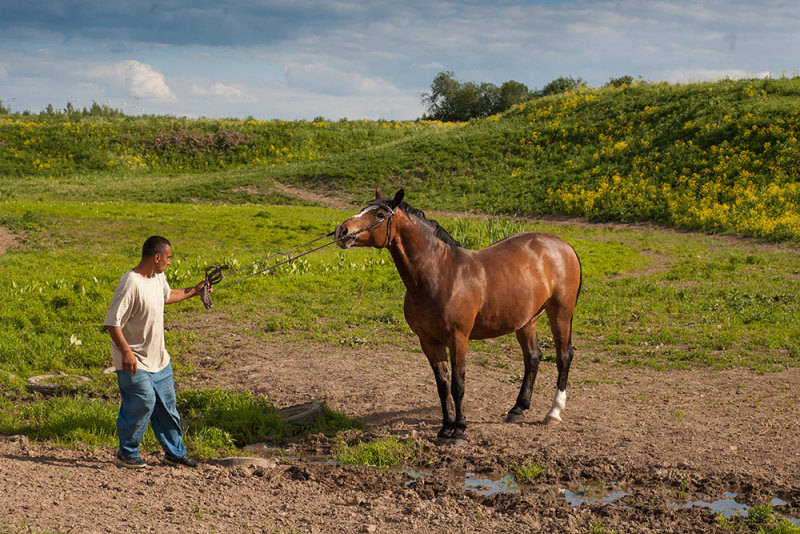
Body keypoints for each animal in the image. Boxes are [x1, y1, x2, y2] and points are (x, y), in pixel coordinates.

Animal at [334, 188, 584, 444]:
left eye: (380, 214)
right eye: (364, 208)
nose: (342, 231)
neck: (440, 273)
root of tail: (564, 246)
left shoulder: (458, 339)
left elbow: (458, 385)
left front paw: (459, 430)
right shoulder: (429, 342)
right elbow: (443, 386)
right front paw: (445, 428)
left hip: (560, 314)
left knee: (563, 356)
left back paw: (553, 413)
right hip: (526, 320)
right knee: (533, 357)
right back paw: (518, 409)